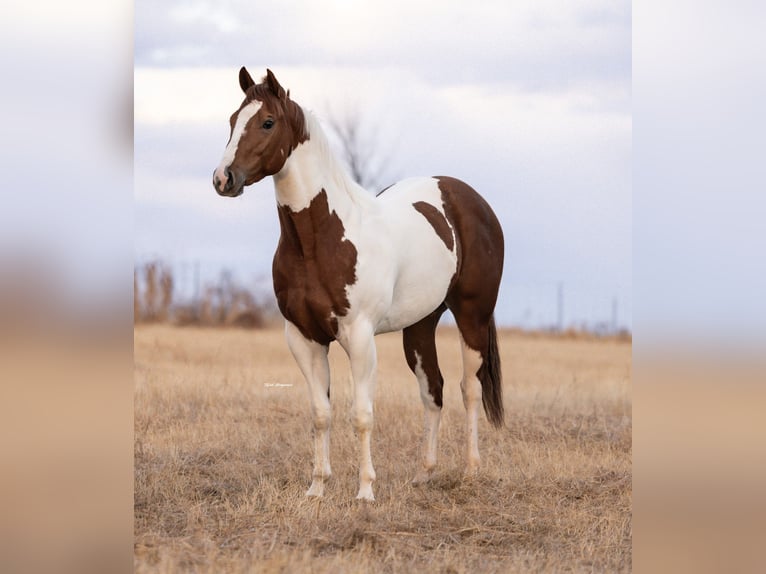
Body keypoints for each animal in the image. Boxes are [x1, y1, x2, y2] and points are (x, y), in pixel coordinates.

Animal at [213, 68, 504, 501]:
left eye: (267, 122)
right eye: (233, 121)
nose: (223, 179)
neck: (321, 239)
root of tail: (471, 200)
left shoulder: (360, 335)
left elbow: (362, 414)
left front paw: (365, 491)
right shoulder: (303, 337)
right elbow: (321, 414)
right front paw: (316, 488)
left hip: (473, 317)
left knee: (470, 389)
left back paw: (470, 470)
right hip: (420, 325)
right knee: (432, 390)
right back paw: (425, 474)